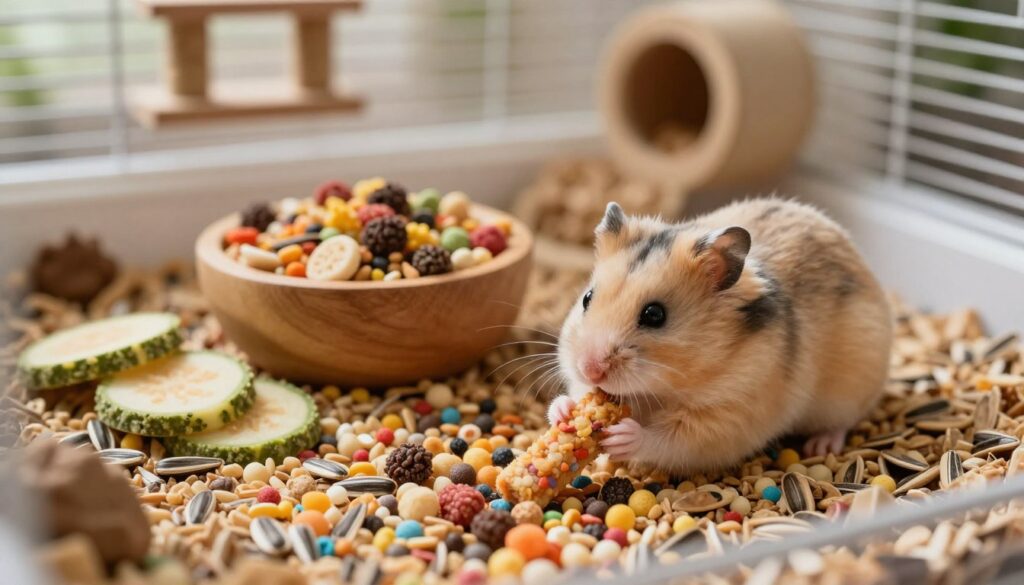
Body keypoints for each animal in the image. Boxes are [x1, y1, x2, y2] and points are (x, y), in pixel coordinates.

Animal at [549, 198, 892, 472]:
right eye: (587, 298)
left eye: (655, 315)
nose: (590, 369)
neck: (659, 391)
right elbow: (577, 393)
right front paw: (562, 410)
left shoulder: (729, 416)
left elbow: (670, 439)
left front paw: (624, 436)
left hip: (852, 386)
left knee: (844, 422)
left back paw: (821, 444)